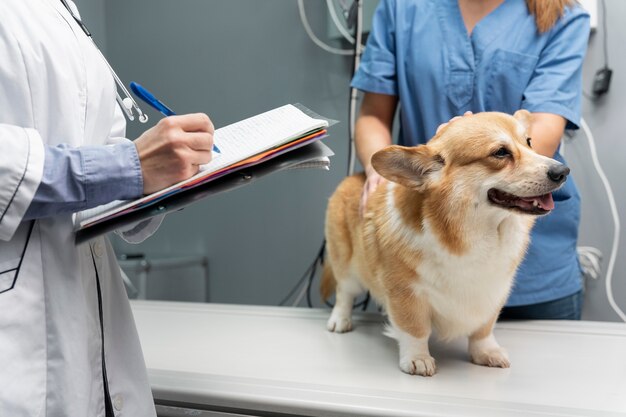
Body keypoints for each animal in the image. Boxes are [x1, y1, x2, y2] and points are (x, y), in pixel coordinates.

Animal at [320, 110, 568, 376]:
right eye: (500, 152)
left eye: (529, 142)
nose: (563, 171)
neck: (474, 235)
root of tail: (352, 177)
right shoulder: (405, 292)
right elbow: (414, 329)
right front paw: (417, 359)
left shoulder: (493, 292)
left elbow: (483, 330)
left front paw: (486, 353)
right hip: (347, 267)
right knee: (344, 293)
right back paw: (340, 321)